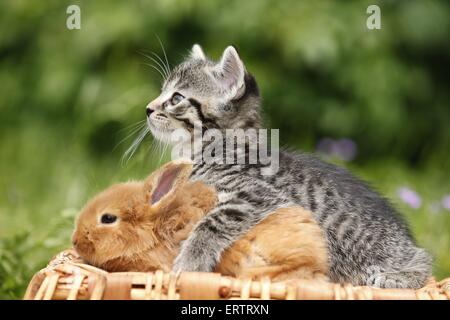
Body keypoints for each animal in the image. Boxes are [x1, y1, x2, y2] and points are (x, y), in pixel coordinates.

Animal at [145, 44, 432, 288]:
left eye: (176, 98)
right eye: (162, 92)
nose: (148, 108)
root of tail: (407, 240)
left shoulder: (256, 195)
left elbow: (211, 223)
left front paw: (188, 262)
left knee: (426, 260)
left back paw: (396, 277)